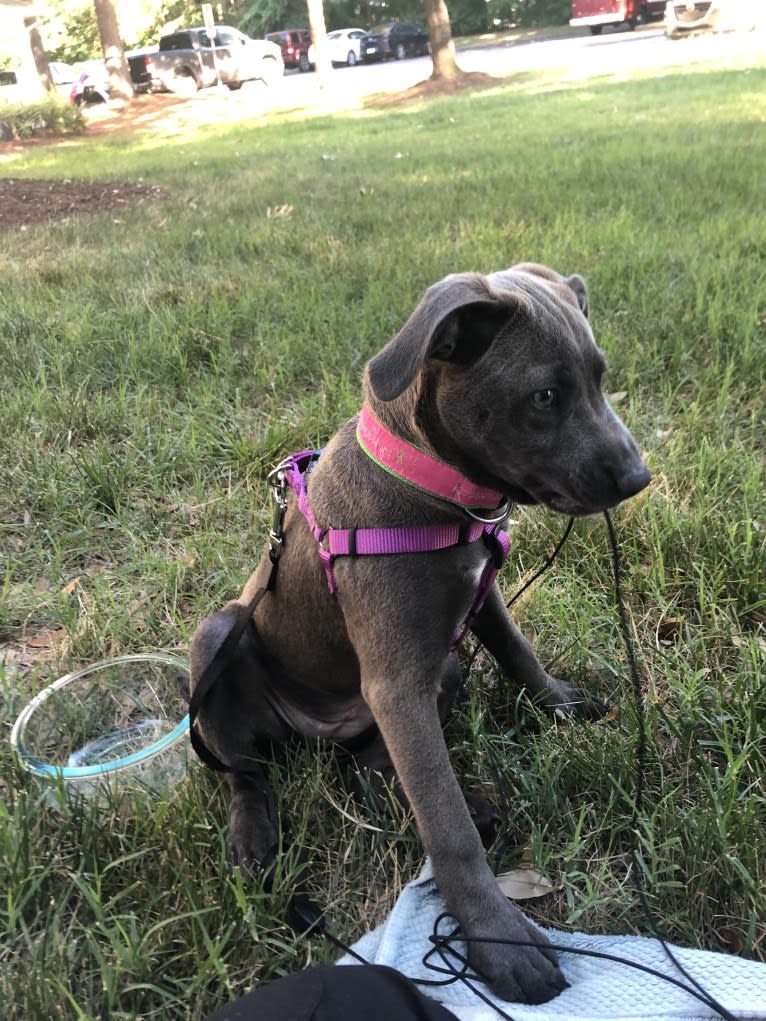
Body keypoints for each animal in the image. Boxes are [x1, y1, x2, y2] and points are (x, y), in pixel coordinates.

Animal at [188, 263, 649, 1004]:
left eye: (601, 377)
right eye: (545, 396)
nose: (639, 479)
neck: (438, 487)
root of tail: (319, 734)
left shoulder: (479, 595)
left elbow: (517, 651)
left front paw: (559, 702)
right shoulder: (397, 684)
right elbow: (447, 826)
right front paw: (498, 938)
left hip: (440, 671)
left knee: (369, 774)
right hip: (220, 632)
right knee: (246, 770)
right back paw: (253, 837)